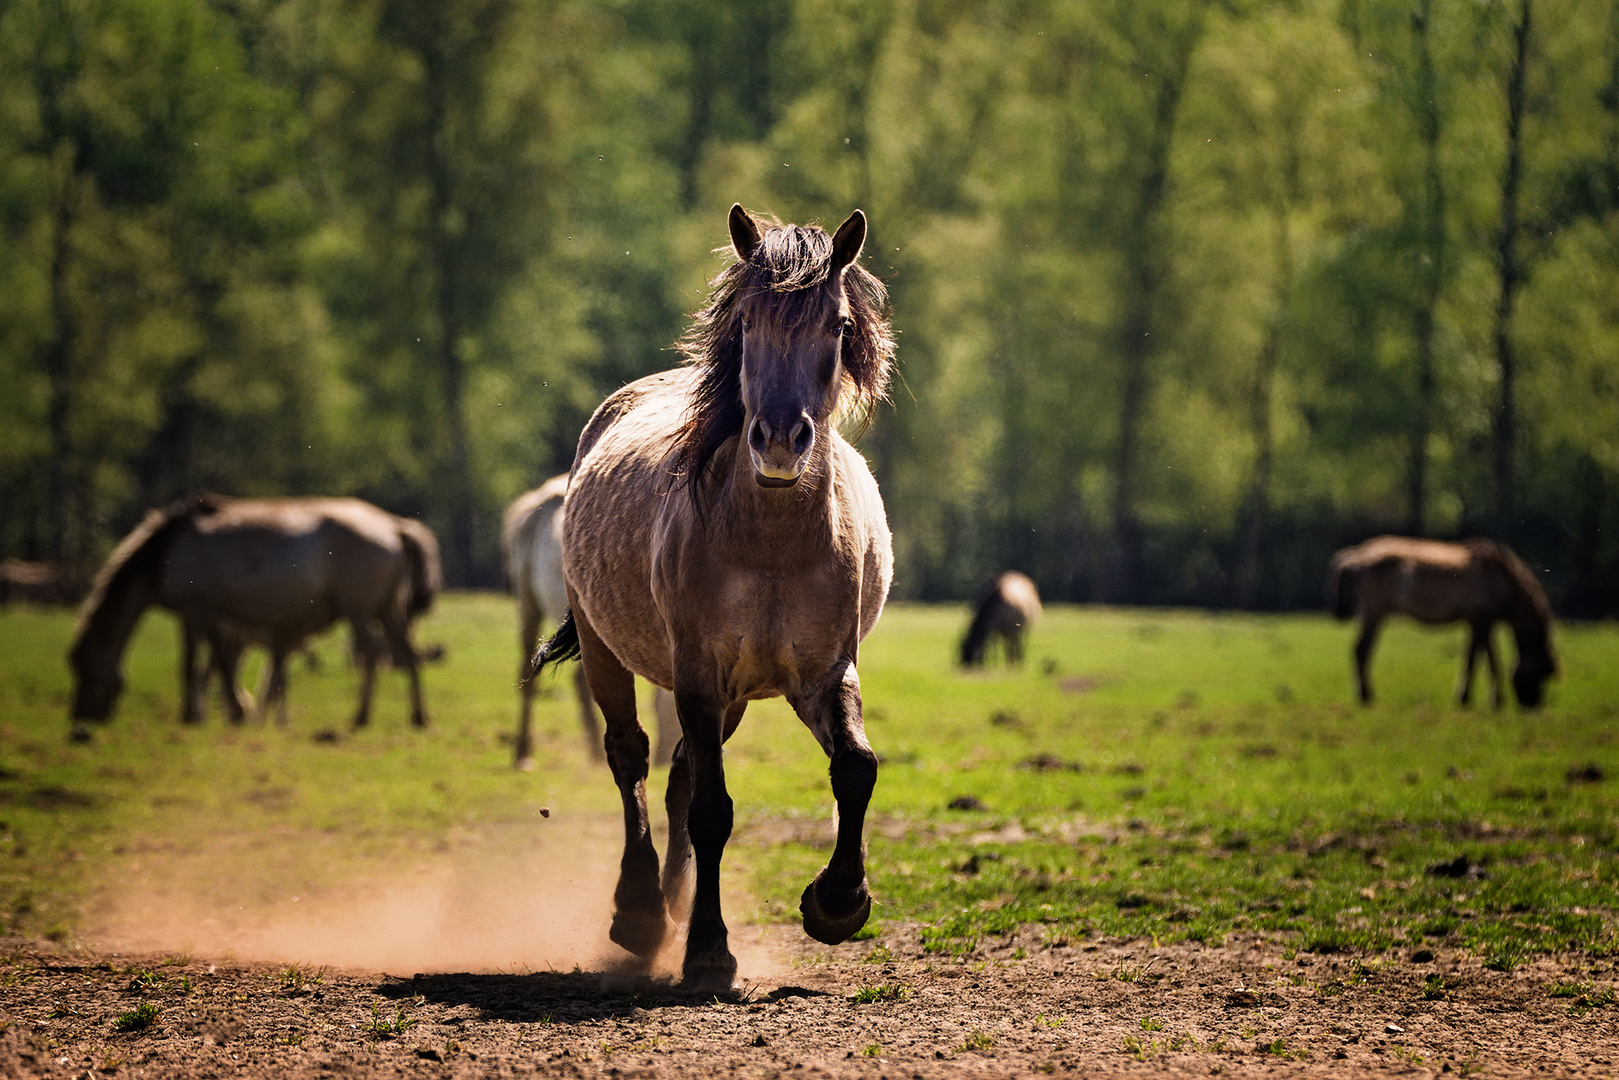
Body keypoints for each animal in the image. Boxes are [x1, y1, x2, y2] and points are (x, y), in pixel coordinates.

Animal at [68, 495, 440, 735]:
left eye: (84, 667)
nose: (79, 717)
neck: (163, 553)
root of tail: (394, 525)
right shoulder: (210, 618)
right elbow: (210, 665)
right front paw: (218, 712)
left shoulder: (199, 608)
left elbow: (202, 664)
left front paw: (224, 712)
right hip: (386, 608)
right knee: (406, 653)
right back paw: (418, 716)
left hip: (358, 608)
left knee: (374, 653)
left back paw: (361, 716)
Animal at [540, 207, 900, 990]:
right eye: (746, 324)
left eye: (836, 326)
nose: (779, 440)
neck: (769, 542)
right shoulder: (699, 674)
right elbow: (711, 809)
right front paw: (709, 948)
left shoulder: (823, 672)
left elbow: (855, 768)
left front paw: (837, 902)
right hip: (610, 652)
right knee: (631, 758)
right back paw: (641, 913)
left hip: (733, 696)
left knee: (677, 774)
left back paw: (668, 908)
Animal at [1327, 534, 1554, 705]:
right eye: (1542, 674)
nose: (1532, 705)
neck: (1500, 579)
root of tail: (1358, 555)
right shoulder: (1479, 620)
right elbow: (1473, 659)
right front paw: (1465, 698)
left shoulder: (1485, 623)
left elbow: (1491, 660)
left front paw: (1496, 700)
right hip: (1374, 612)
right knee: (1361, 650)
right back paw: (1365, 695)